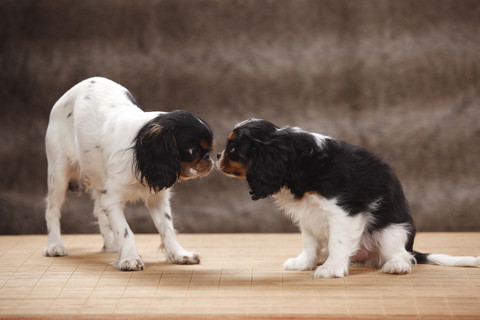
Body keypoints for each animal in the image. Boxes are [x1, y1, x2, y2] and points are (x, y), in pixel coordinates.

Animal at [45, 77, 214, 270]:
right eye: (193, 150)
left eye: (209, 148)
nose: (209, 158)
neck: (139, 151)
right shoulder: (112, 199)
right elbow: (126, 231)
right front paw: (130, 258)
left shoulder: (157, 199)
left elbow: (167, 229)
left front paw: (179, 254)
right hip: (59, 172)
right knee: (52, 210)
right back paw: (55, 245)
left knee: (98, 210)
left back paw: (111, 244)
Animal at [218, 119, 480, 278]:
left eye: (233, 149)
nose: (219, 154)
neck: (297, 158)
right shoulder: (308, 215)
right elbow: (309, 242)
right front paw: (304, 263)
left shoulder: (344, 211)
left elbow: (338, 242)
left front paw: (331, 268)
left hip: (392, 231)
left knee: (402, 254)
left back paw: (396, 265)